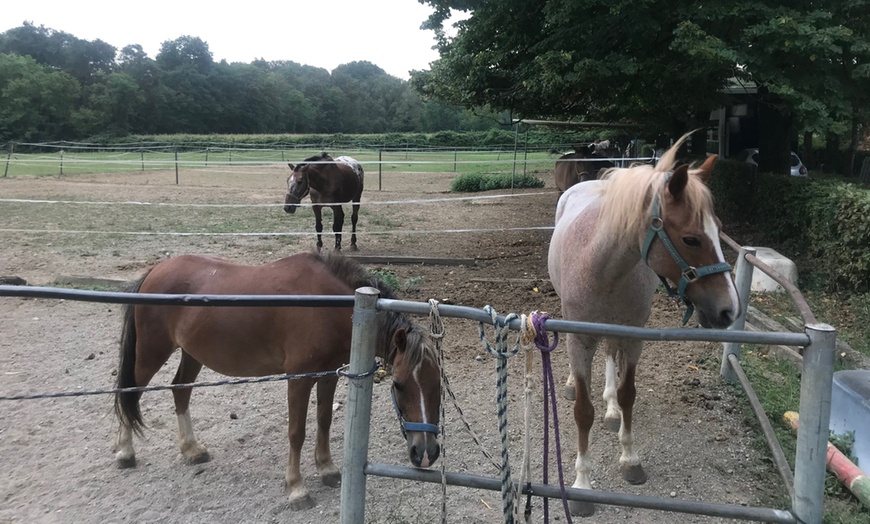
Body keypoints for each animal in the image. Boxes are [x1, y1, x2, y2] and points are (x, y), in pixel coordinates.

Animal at [114, 252, 442, 510]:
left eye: (438, 387)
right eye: (399, 385)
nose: (425, 453)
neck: (326, 303)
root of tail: (155, 271)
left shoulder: (327, 375)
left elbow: (324, 421)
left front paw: (327, 469)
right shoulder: (298, 378)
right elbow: (296, 432)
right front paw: (296, 489)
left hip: (192, 354)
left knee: (180, 391)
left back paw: (191, 449)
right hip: (151, 353)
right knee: (128, 392)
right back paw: (125, 453)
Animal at [548, 134, 740, 516]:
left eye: (720, 230)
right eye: (691, 238)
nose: (728, 310)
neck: (601, 264)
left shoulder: (632, 337)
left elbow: (627, 395)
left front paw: (630, 458)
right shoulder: (580, 340)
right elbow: (582, 412)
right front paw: (581, 486)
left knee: (610, 357)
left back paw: (610, 410)